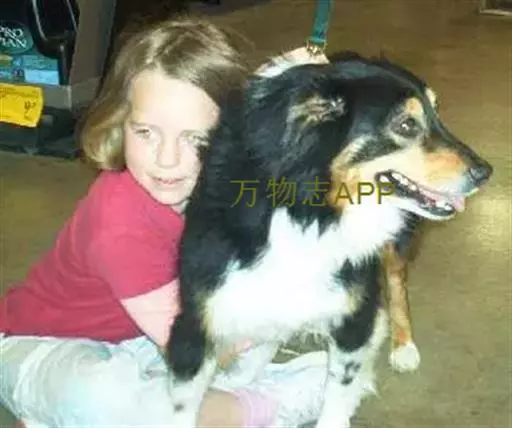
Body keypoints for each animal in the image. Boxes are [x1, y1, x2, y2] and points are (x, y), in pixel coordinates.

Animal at [164, 52, 493, 428]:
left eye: (437, 114)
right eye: (407, 125)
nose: (485, 173)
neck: (308, 210)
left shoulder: (356, 317)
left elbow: (338, 394)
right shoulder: (197, 316)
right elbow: (184, 403)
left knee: (396, 283)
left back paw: (404, 346)